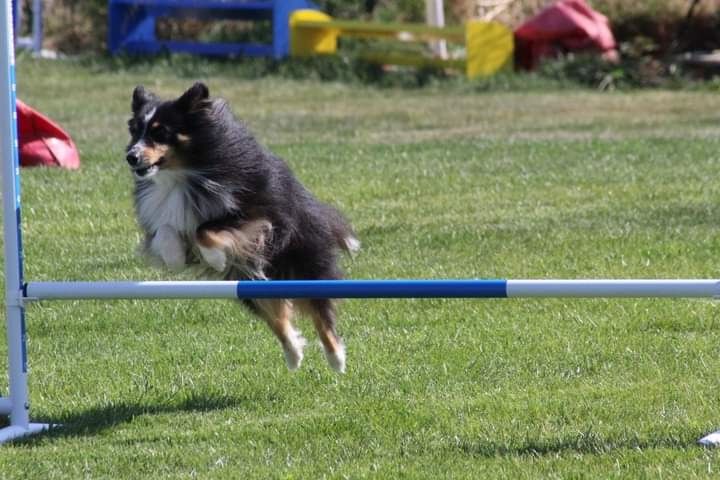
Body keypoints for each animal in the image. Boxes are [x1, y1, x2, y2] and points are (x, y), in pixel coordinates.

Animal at [126, 81, 360, 376]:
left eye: (161, 132)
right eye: (135, 130)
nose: (131, 157)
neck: (182, 174)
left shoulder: (258, 215)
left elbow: (205, 229)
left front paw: (215, 257)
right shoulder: (167, 215)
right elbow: (166, 230)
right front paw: (175, 258)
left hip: (303, 265)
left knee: (321, 314)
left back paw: (336, 359)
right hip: (250, 286)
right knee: (278, 318)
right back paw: (294, 355)